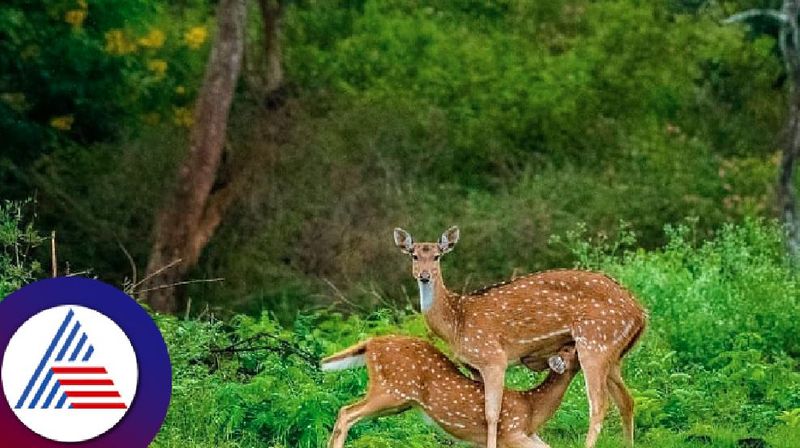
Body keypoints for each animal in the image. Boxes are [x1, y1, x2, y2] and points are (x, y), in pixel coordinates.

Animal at [324, 336, 580, 448]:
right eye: (570, 348)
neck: (531, 408)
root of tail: (370, 343)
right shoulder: (511, 432)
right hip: (391, 390)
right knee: (346, 412)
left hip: (398, 401)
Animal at [394, 228, 648, 448]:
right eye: (414, 255)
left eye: (437, 256)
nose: (424, 276)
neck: (456, 324)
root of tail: (641, 314)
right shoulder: (474, 367)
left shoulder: (493, 357)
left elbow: (491, 415)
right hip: (612, 355)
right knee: (627, 400)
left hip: (595, 343)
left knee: (598, 406)